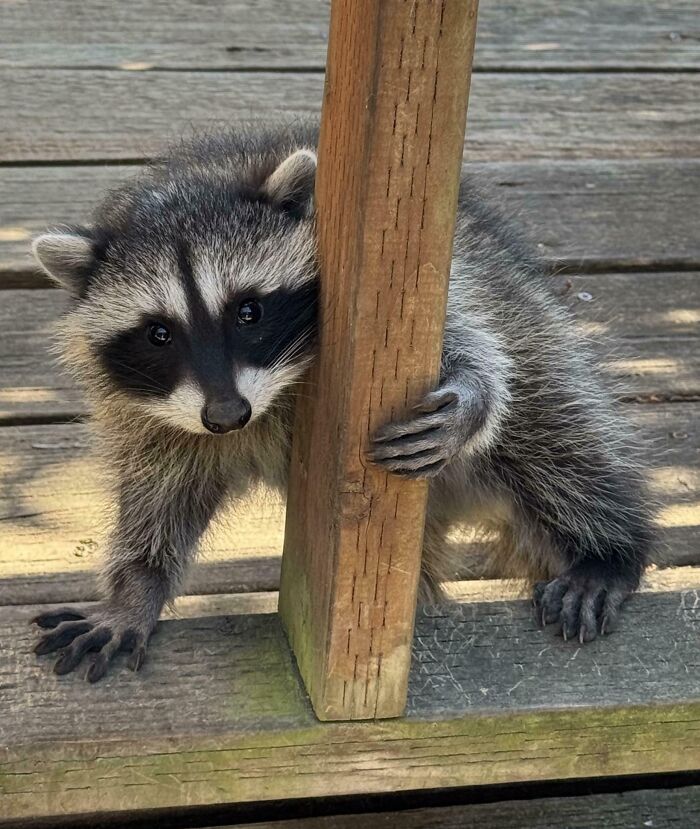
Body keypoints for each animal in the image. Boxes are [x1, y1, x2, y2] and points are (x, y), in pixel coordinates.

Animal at [31, 123, 653, 682]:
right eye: (159, 334)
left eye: (248, 311)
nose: (228, 416)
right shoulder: (154, 414)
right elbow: (157, 495)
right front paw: (136, 587)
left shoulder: (413, 284)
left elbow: (464, 337)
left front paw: (471, 388)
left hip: (524, 311)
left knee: (552, 427)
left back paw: (607, 548)